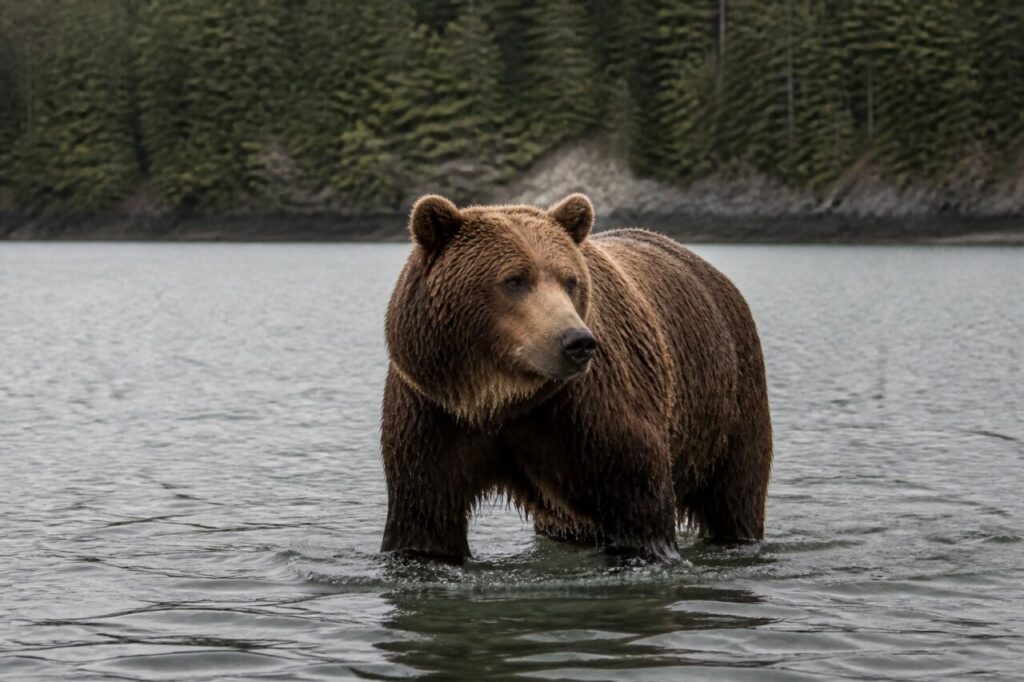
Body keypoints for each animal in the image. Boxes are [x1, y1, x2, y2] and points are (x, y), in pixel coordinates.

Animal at [380, 193, 772, 563]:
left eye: (571, 280)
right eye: (514, 280)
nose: (577, 342)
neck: (499, 400)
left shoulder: (594, 412)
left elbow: (640, 505)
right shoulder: (433, 413)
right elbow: (425, 517)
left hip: (730, 403)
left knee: (736, 491)